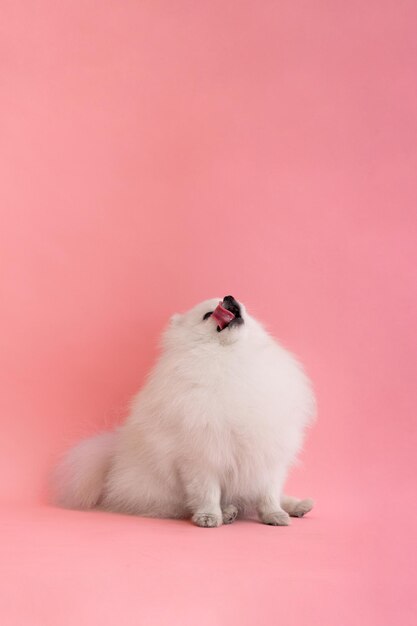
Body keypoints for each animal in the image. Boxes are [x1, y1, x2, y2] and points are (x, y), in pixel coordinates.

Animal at [55, 294, 316, 524]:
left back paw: (296, 506)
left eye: (235, 300)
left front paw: (274, 514)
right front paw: (209, 516)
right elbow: (207, 490)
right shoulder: (200, 453)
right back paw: (227, 511)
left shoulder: (268, 451)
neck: (229, 357)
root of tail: (114, 458)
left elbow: (268, 492)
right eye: (208, 315)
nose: (229, 297)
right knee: (185, 505)